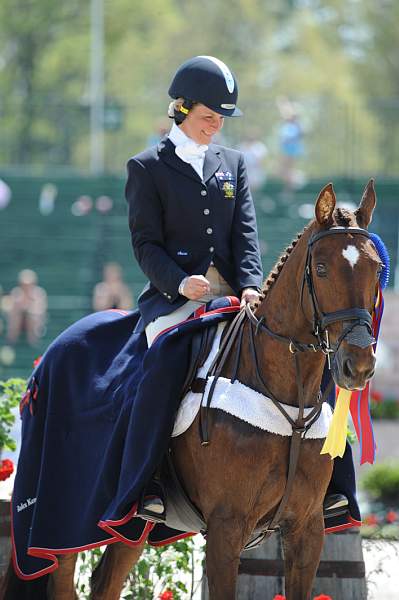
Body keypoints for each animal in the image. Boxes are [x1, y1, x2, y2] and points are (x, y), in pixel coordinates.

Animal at [0, 180, 382, 596]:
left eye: (377, 269)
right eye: (322, 269)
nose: (358, 364)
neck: (287, 405)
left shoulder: (307, 530)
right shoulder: (226, 528)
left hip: (131, 528)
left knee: (106, 583)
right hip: (64, 525)